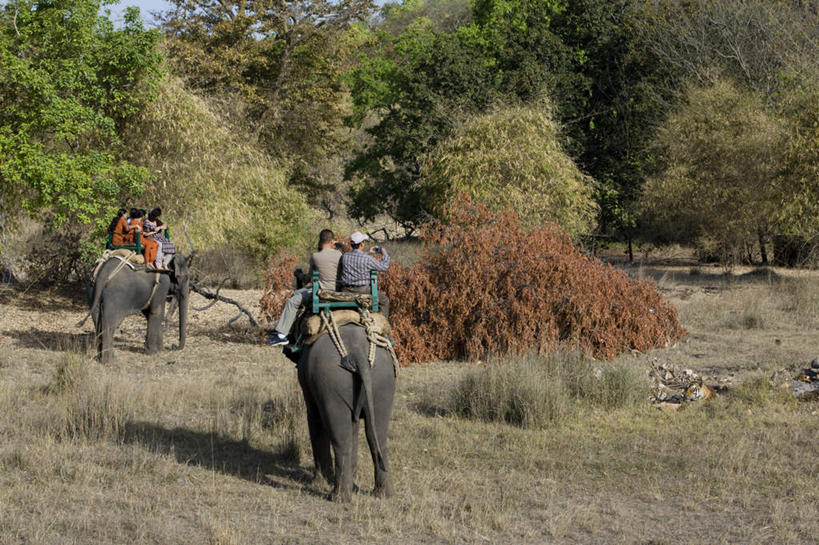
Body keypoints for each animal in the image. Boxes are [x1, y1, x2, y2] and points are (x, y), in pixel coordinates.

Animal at [294, 324, 398, 502]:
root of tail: (357, 352)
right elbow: (354, 424)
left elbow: (315, 420)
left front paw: (319, 483)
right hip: (383, 381)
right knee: (377, 435)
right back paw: (384, 494)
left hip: (332, 380)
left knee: (340, 437)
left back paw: (337, 497)